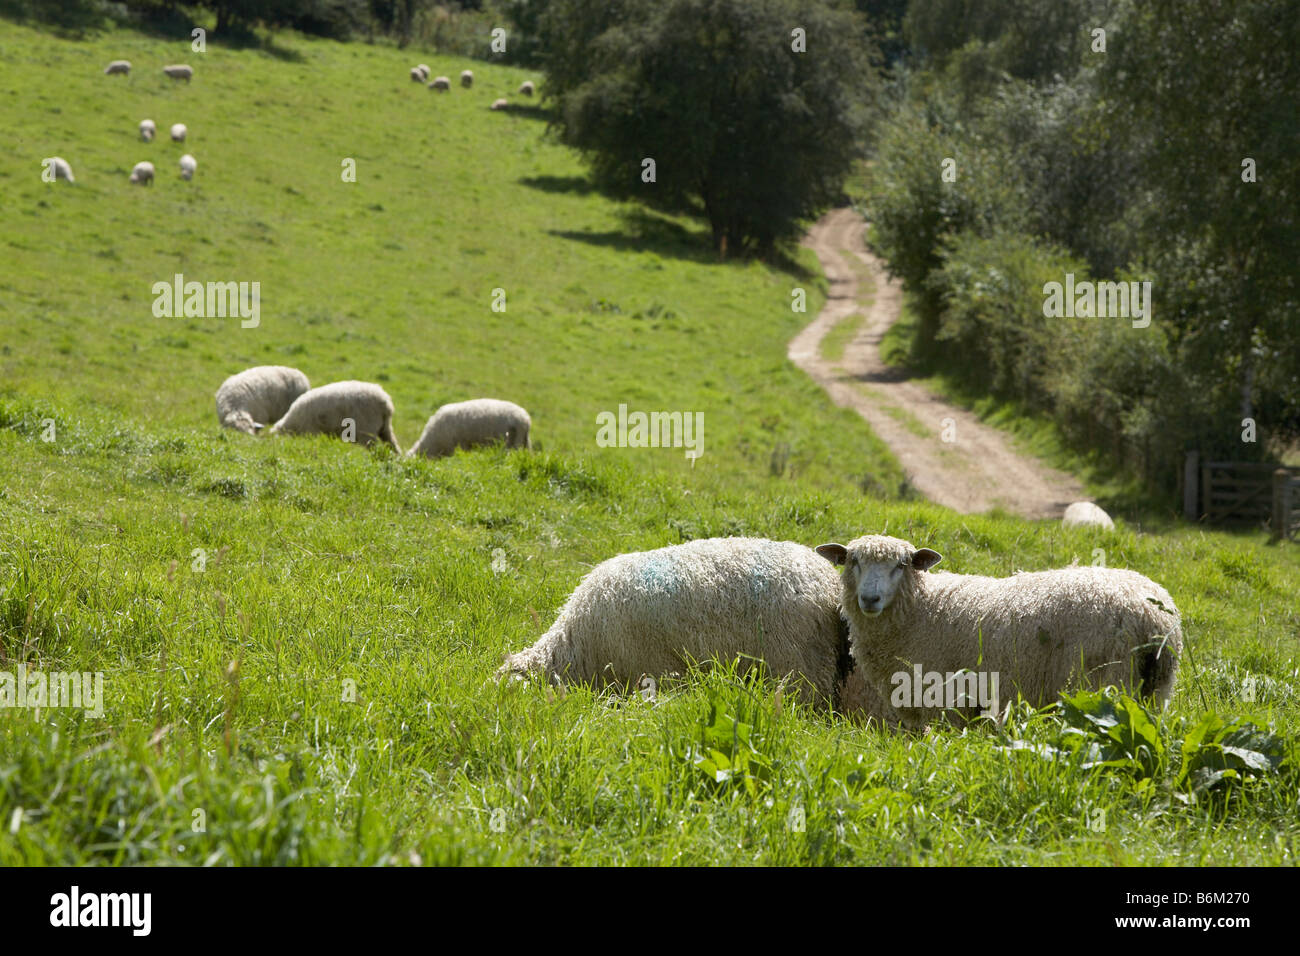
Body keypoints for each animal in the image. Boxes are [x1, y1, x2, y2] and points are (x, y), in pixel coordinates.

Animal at [266, 379, 397, 455]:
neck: (292, 423)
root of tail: (385, 401)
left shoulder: (312, 431)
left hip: (367, 429)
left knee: (374, 448)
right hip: (385, 428)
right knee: (392, 444)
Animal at [816, 530, 1185, 733]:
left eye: (901, 565)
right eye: (853, 562)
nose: (870, 598)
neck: (920, 609)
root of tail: (1153, 615)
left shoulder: (945, 702)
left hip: (1103, 683)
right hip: (1155, 691)